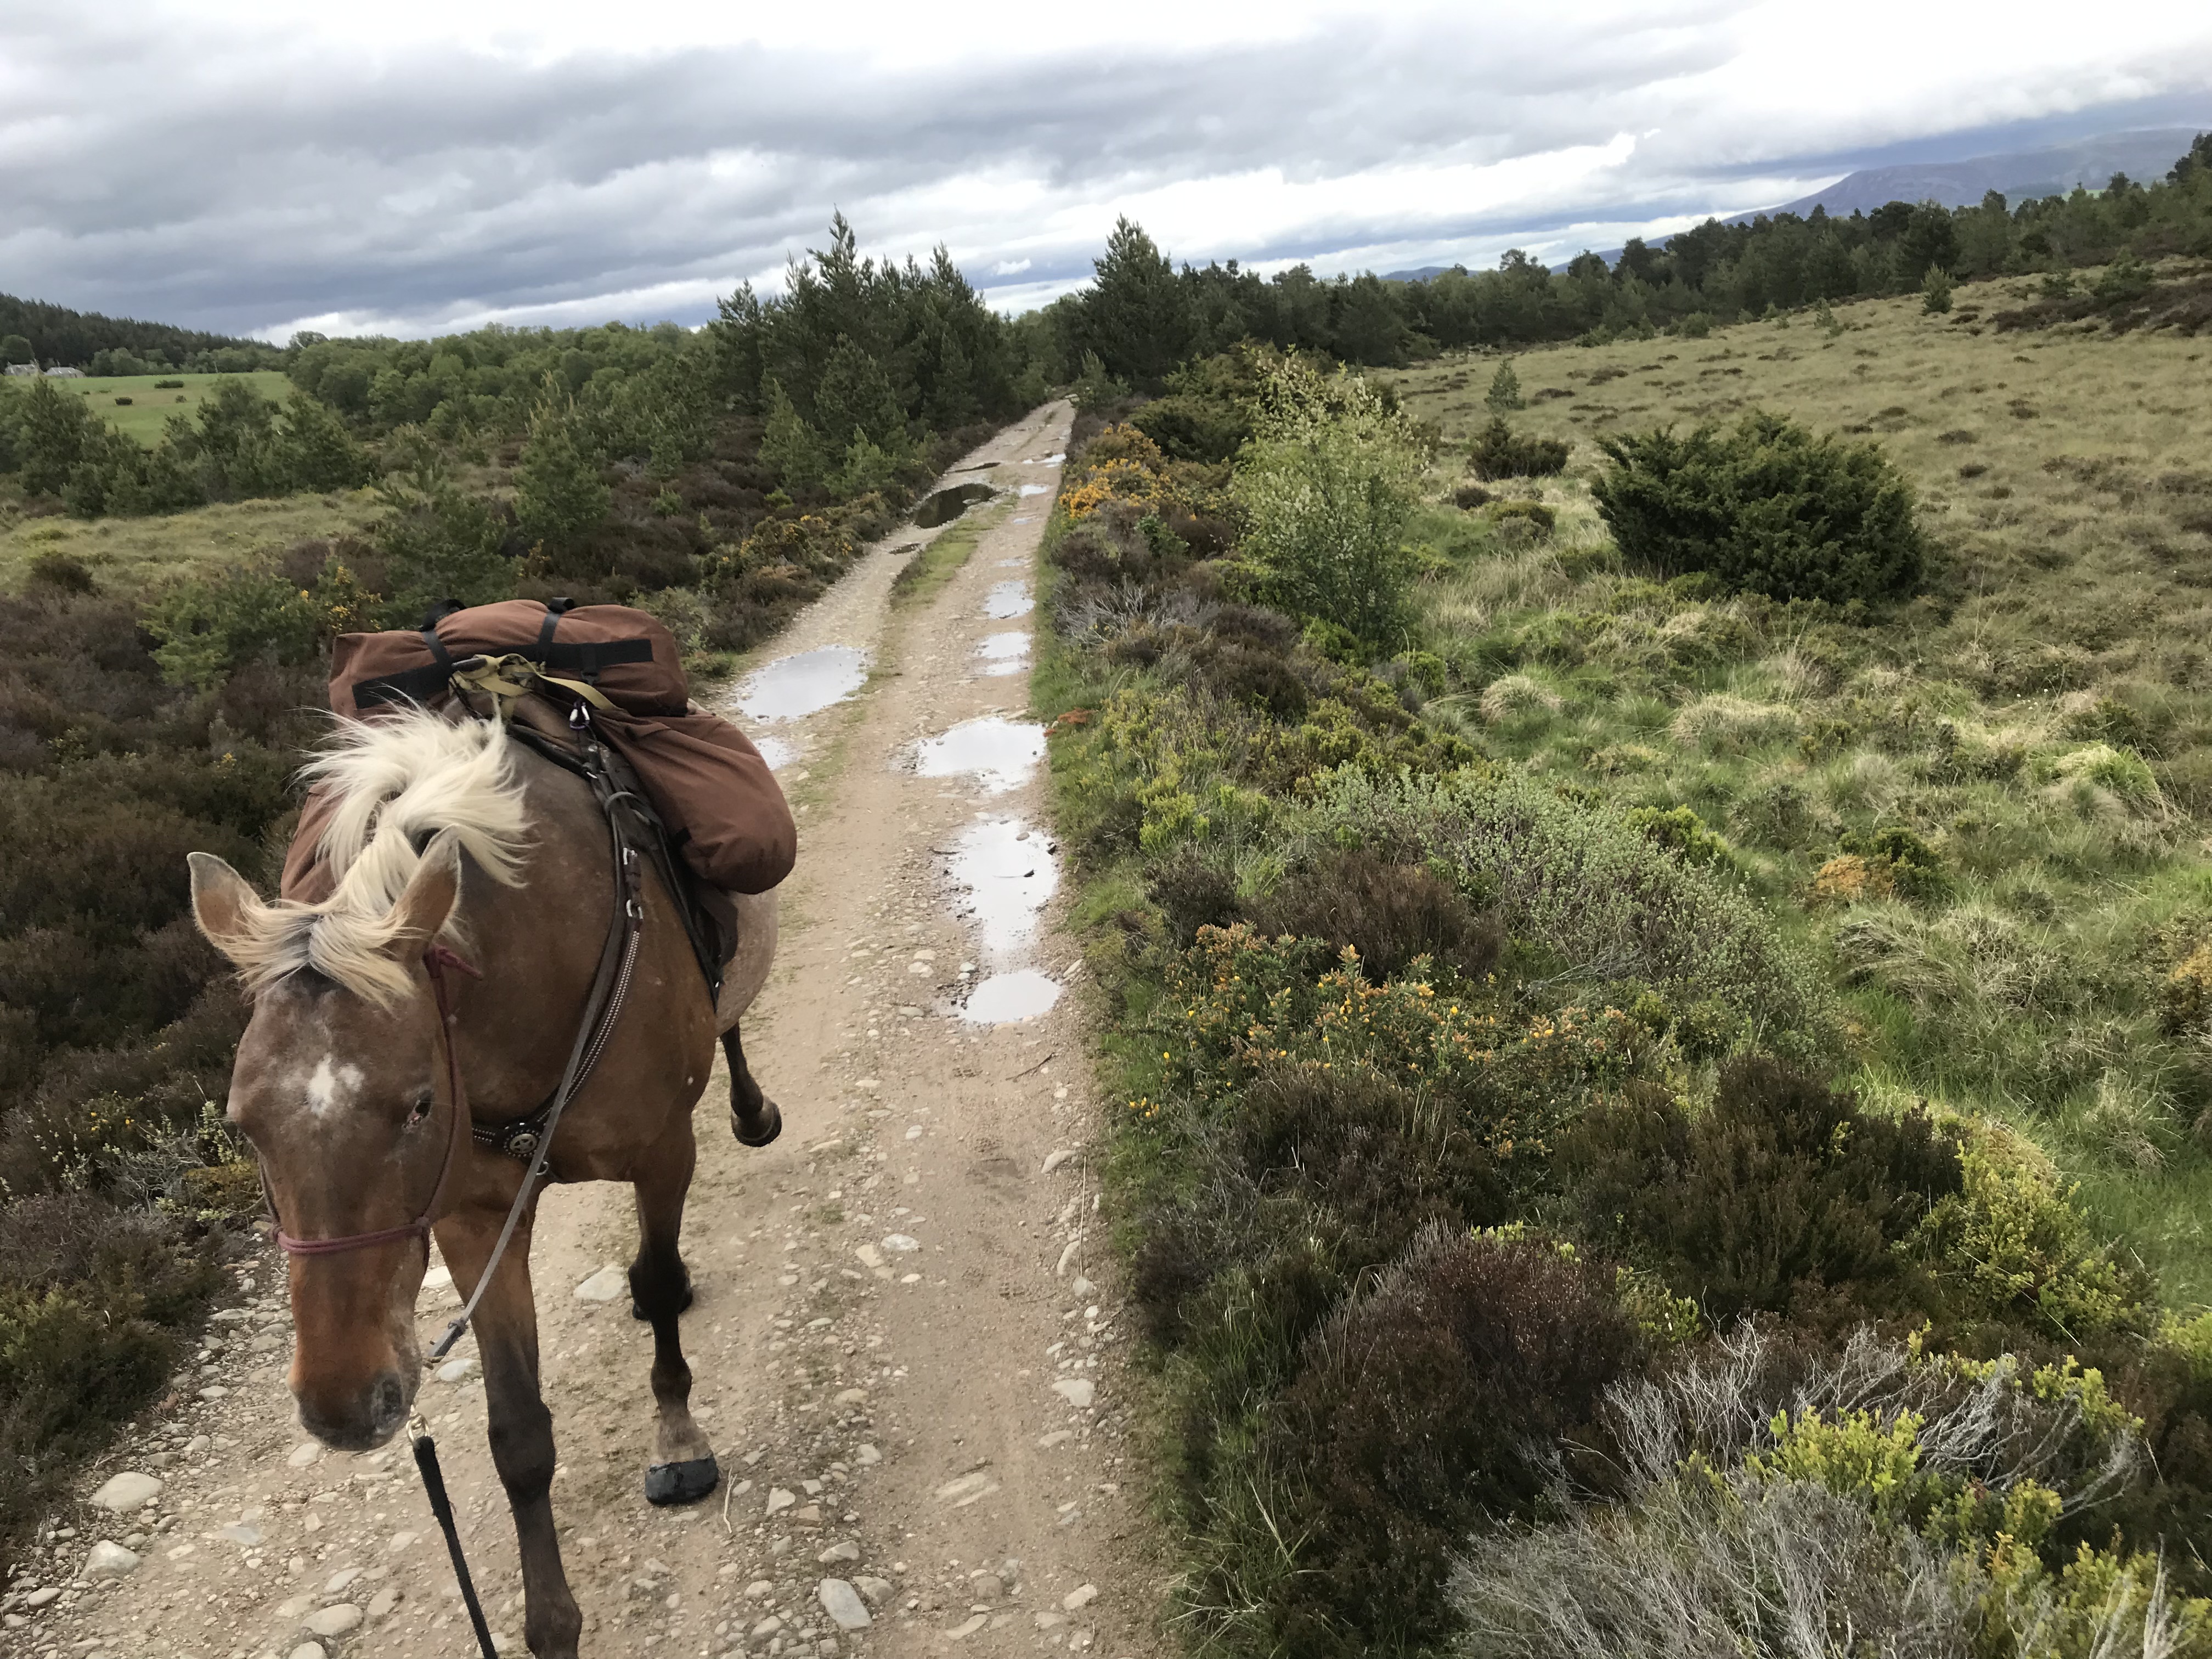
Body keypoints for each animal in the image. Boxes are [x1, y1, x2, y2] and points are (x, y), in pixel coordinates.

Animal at [187, 701, 779, 1659]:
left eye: (420, 1104)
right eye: (243, 1123)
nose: (344, 1405)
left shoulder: (662, 1153)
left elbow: (656, 1281)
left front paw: (677, 1436)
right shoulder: (474, 1220)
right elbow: (519, 1433)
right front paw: (551, 1622)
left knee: (731, 1035)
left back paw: (752, 1112)